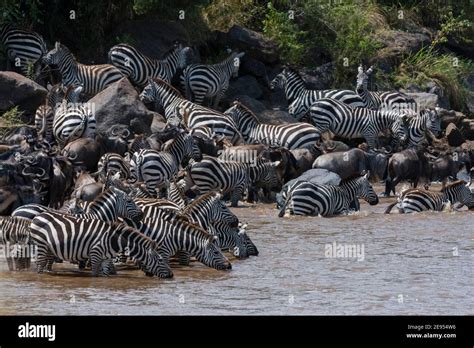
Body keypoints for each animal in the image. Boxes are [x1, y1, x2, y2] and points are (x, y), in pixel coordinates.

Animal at [28, 212, 172, 278]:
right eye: (160, 260)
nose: (172, 275)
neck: (114, 240)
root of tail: (38, 216)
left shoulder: (106, 258)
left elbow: (105, 274)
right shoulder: (95, 253)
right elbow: (94, 274)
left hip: (48, 247)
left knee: (46, 263)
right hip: (40, 243)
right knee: (40, 264)